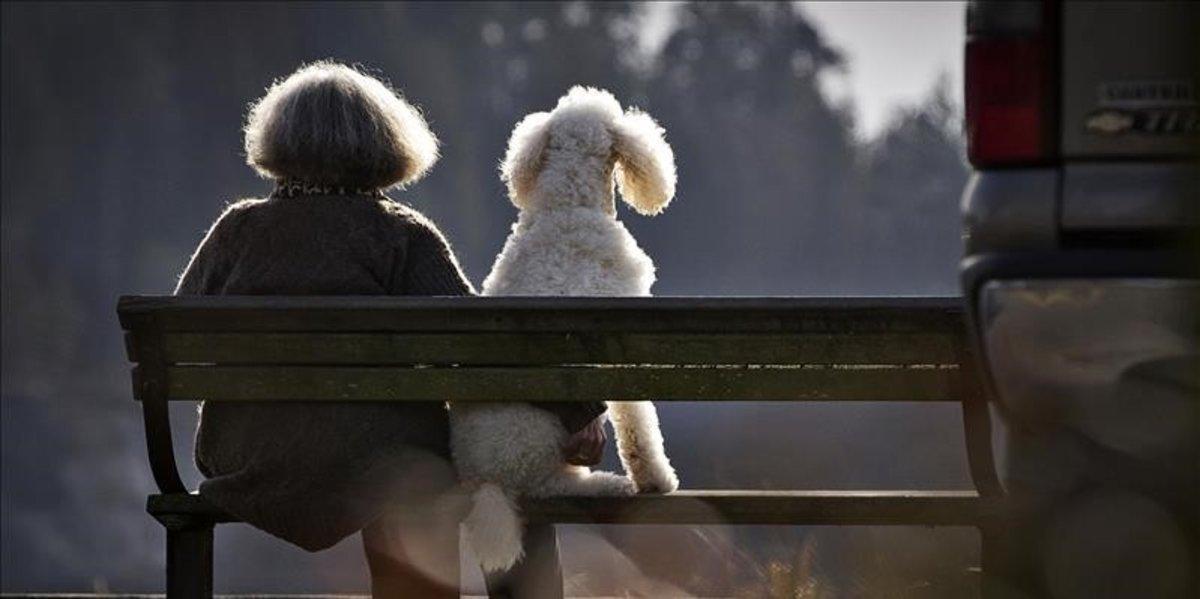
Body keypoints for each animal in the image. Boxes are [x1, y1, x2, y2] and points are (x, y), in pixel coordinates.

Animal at [451, 87, 681, 571]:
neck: (569, 205)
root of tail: (484, 481)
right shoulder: (623, 344)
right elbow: (638, 423)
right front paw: (656, 479)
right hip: (538, 446)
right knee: (548, 487)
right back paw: (606, 484)